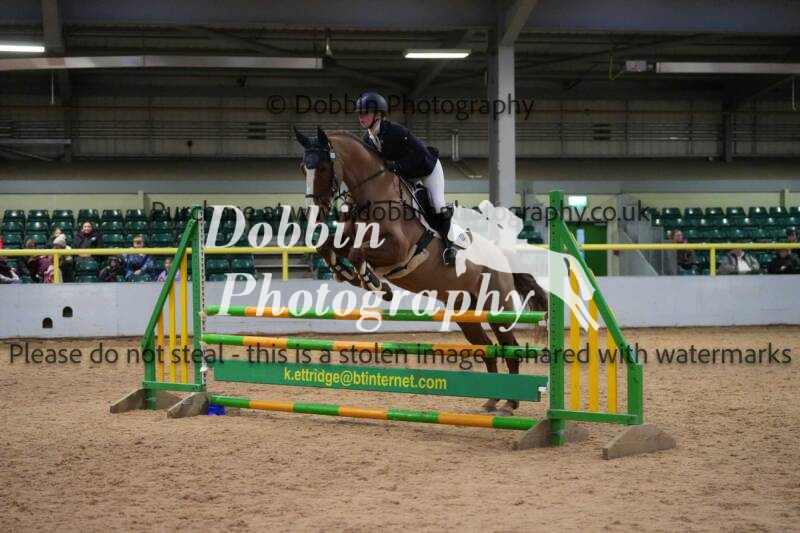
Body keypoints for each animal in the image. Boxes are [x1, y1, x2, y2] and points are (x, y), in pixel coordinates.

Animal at [294, 127, 548, 415]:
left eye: (324, 166)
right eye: (303, 168)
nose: (314, 214)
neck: (373, 195)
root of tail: (501, 256)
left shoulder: (397, 249)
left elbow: (358, 254)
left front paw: (375, 283)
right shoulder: (348, 238)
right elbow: (328, 246)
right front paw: (347, 273)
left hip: (497, 306)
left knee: (509, 346)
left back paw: (509, 403)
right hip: (465, 311)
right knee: (487, 347)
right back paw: (492, 399)